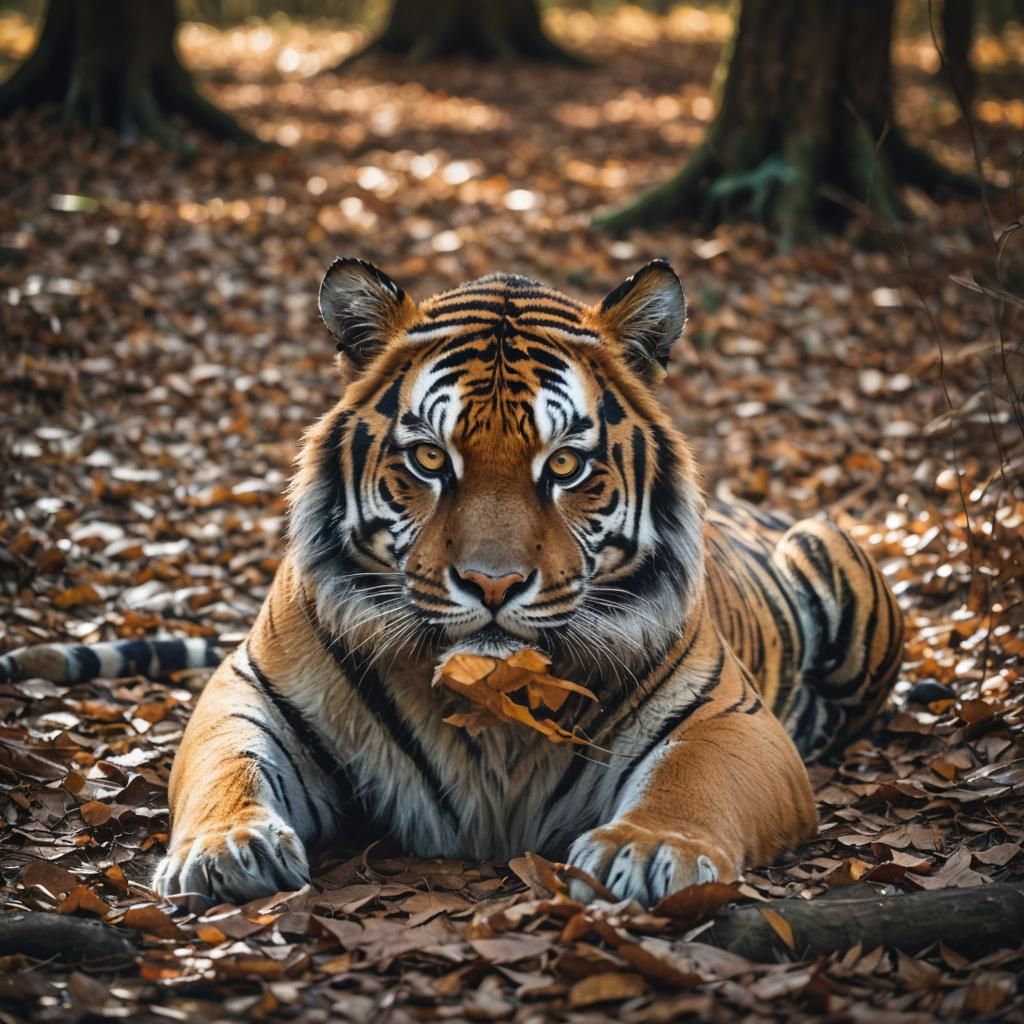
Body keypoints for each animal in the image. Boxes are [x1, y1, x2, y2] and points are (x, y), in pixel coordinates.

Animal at [0, 258, 904, 907]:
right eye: (431, 459)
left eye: (564, 466)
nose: (492, 585)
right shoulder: (249, 688)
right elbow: (229, 764)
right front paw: (226, 850)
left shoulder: (730, 717)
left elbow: (691, 779)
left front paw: (650, 851)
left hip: (832, 551)